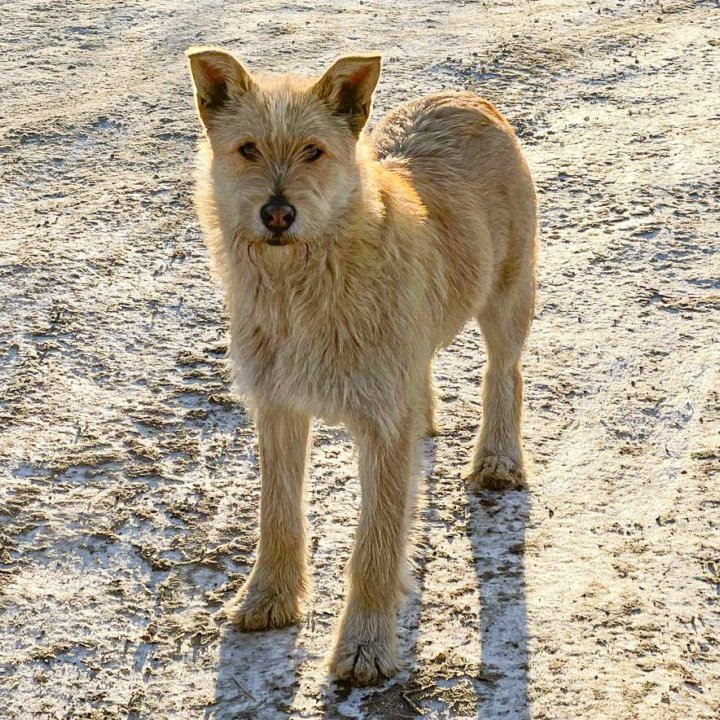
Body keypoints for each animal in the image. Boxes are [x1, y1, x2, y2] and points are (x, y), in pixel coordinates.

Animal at [186, 49, 536, 688]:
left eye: (314, 151)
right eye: (247, 149)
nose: (278, 213)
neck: (303, 284)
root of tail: (469, 97)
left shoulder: (380, 426)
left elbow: (375, 545)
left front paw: (365, 647)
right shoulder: (277, 407)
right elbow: (277, 515)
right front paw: (268, 599)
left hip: (508, 296)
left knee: (505, 373)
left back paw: (499, 459)